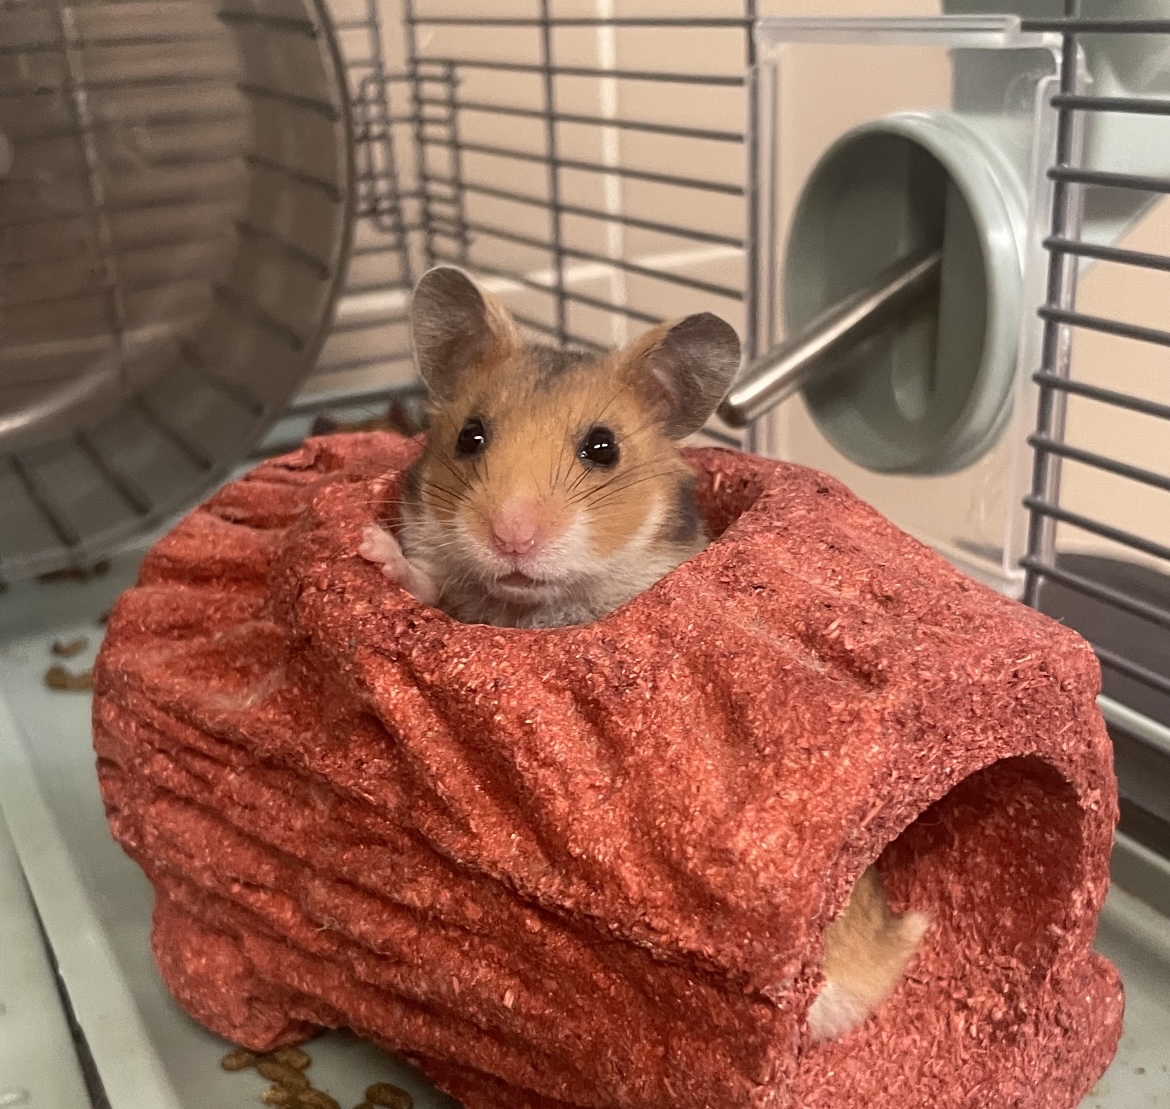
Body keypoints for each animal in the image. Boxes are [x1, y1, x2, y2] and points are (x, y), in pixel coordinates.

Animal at [360, 265, 926, 1043]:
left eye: (603, 448)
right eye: (470, 437)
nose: (511, 538)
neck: (533, 607)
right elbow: (425, 581)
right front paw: (371, 549)